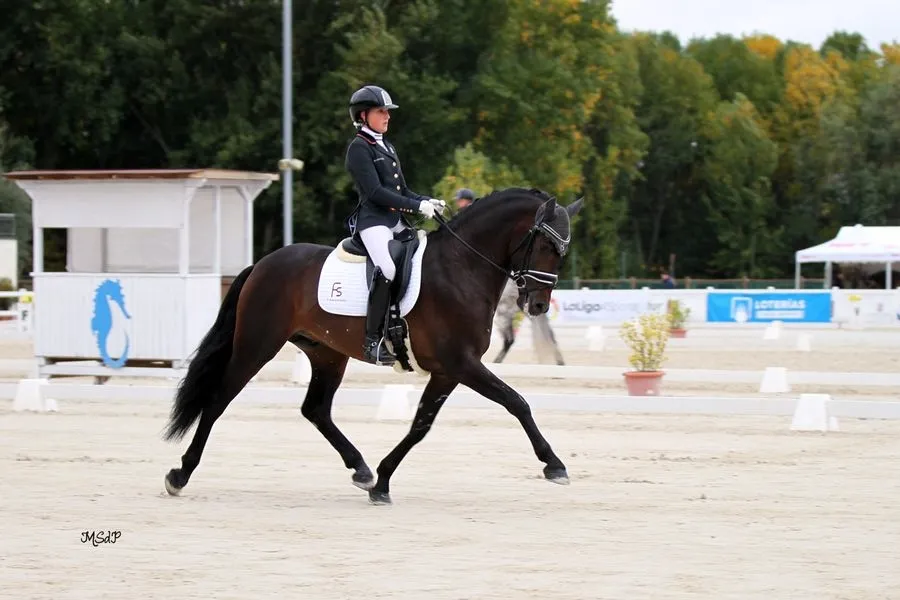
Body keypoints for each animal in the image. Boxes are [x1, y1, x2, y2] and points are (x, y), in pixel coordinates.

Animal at [162, 187, 584, 505]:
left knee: (316, 409)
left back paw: (361, 469)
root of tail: (262, 264)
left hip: (327, 354)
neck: (462, 268)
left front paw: (381, 482)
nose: (538, 305)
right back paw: (180, 474)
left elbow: (420, 425)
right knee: (218, 400)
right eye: (546, 245)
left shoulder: (447, 371)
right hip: (257, 344)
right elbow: (517, 402)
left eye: (563, 251)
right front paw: (554, 464)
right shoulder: (461, 364)